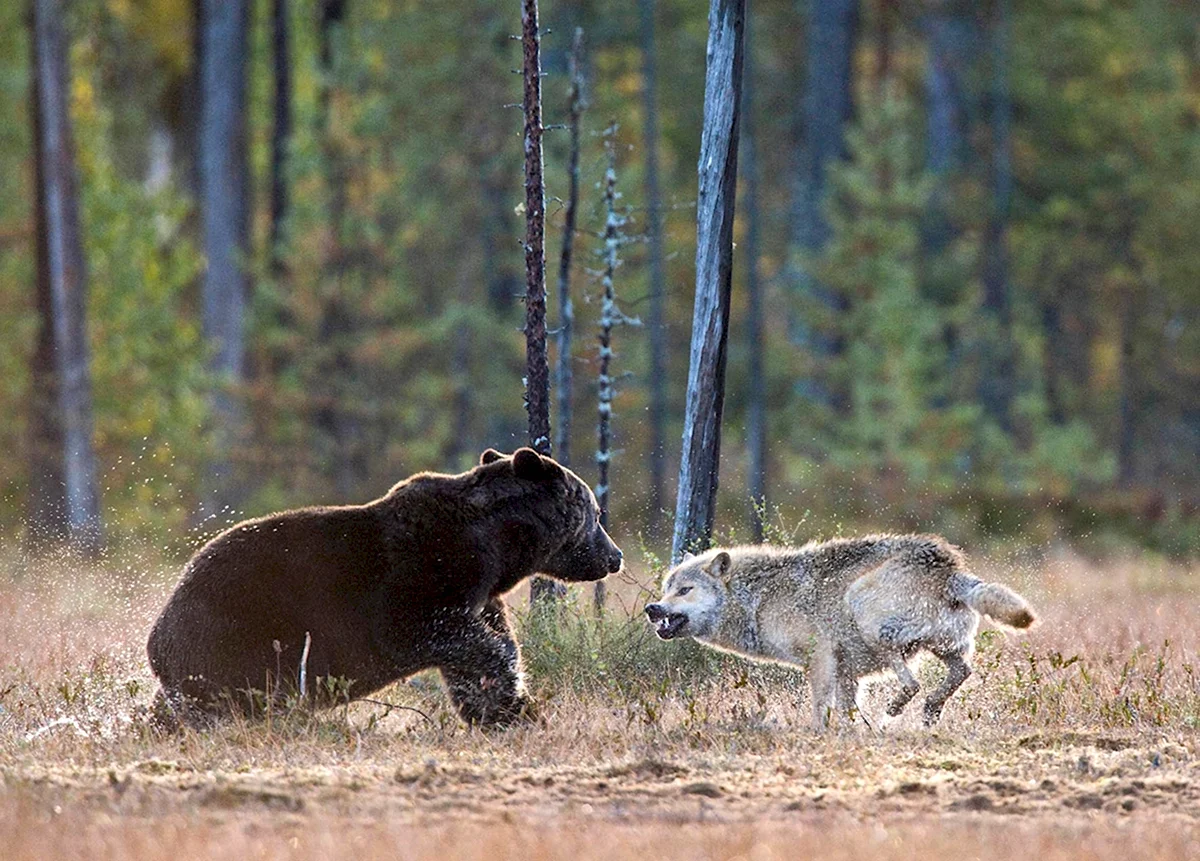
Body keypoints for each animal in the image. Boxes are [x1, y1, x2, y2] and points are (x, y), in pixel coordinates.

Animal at [145, 448, 624, 733]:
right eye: (596, 514)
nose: (615, 556)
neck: (497, 550)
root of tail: (157, 633)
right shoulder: (421, 577)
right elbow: (447, 636)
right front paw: (514, 700)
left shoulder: (482, 595)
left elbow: (480, 650)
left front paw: (509, 709)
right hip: (237, 632)